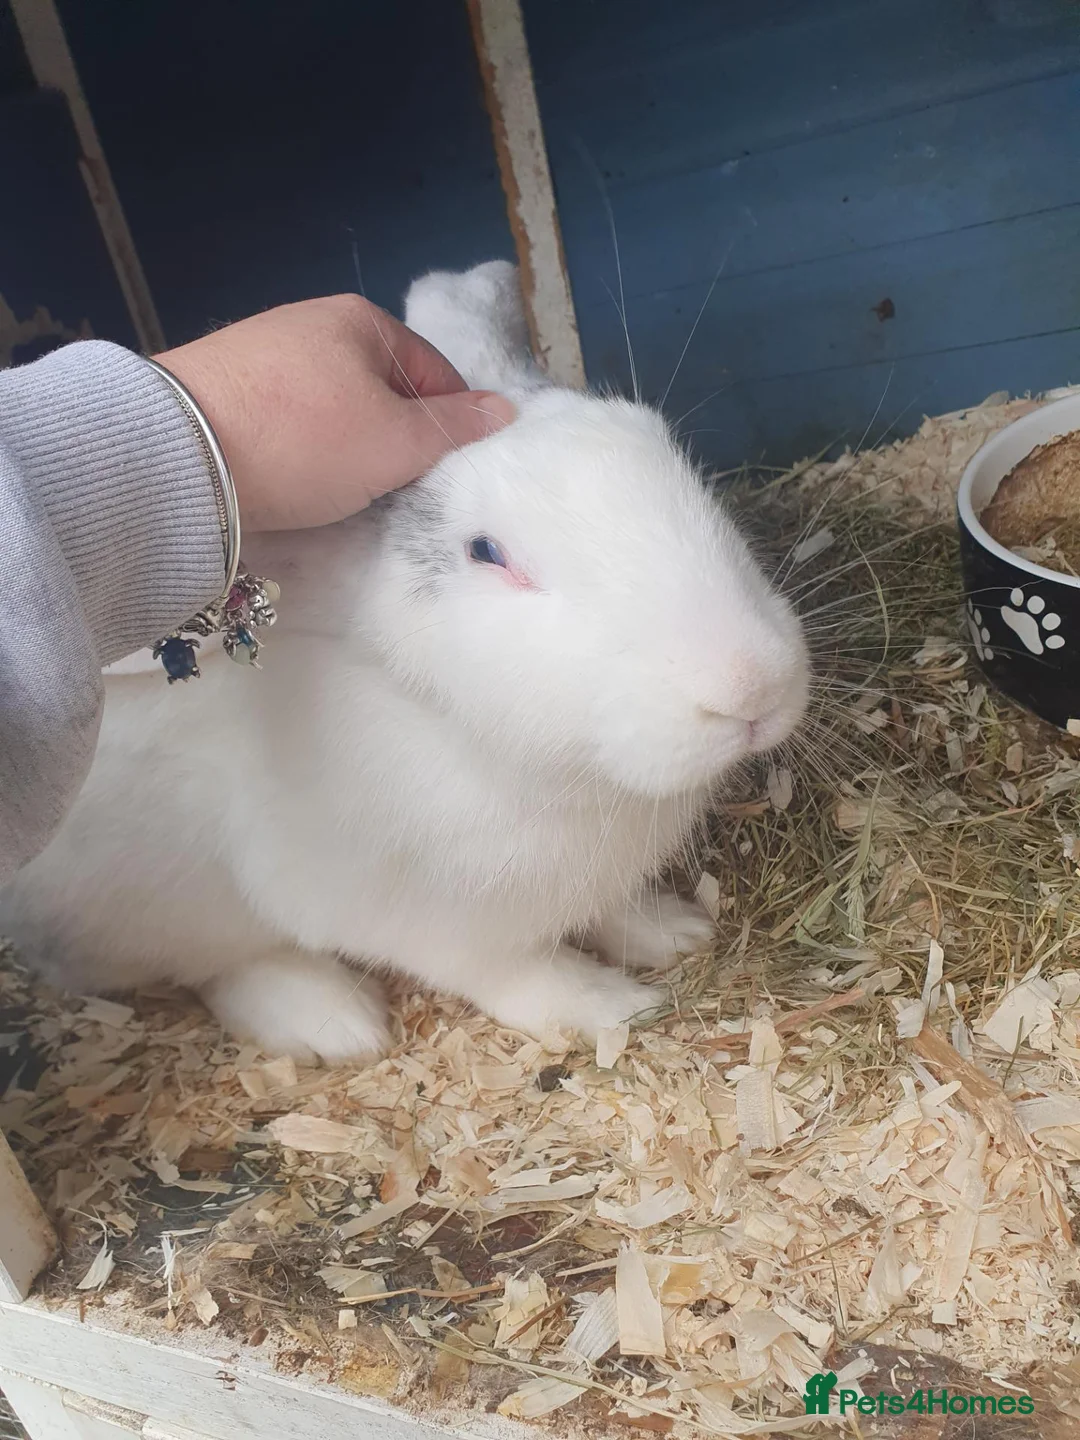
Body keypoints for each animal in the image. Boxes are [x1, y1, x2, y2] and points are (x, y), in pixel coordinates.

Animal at [0, 261, 809, 1063]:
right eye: (486, 553)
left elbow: (612, 912)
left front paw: (674, 930)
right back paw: (332, 1022)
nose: (753, 684)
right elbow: (515, 971)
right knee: (218, 966)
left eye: (663, 448)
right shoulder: (419, 921)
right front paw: (614, 1007)